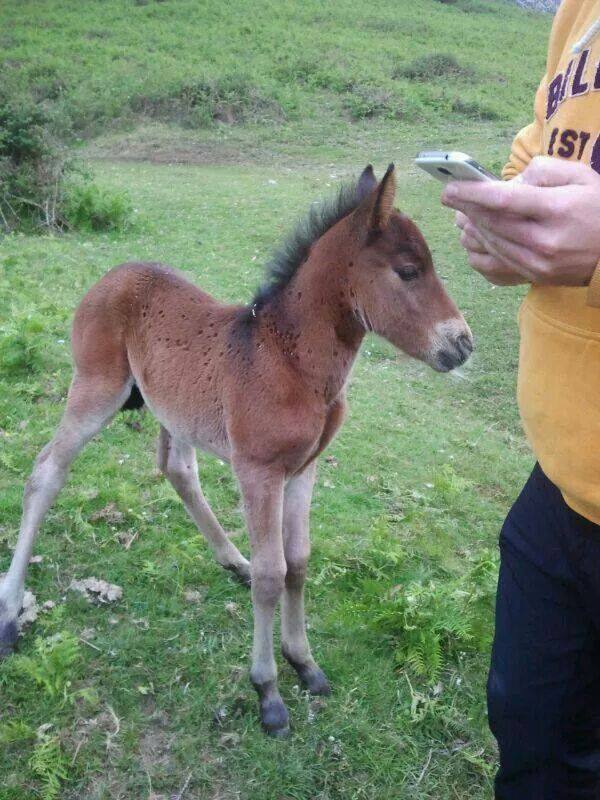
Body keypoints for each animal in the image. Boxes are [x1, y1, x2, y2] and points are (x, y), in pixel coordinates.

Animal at [0, 164, 474, 736]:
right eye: (407, 271)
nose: (462, 343)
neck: (291, 361)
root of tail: (113, 274)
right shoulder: (259, 472)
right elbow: (273, 576)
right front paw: (268, 691)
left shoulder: (304, 470)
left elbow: (298, 561)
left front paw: (304, 662)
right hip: (96, 388)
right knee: (47, 470)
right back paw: (9, 612)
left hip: (175, 408)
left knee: (177, 469)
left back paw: (233, 560)